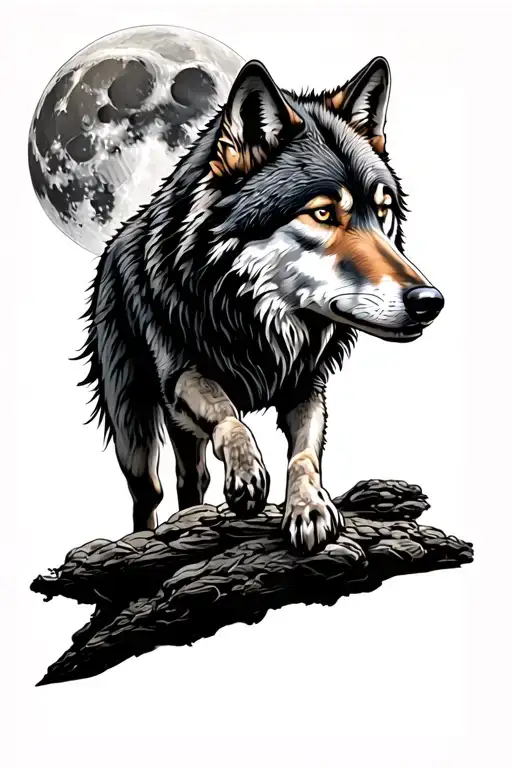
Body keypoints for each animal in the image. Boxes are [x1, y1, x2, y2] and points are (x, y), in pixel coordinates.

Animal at [79, 56, 444, 554]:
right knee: (147, 491)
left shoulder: (306, 387)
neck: (256, 316)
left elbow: (305, 455)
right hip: (134, 427)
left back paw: (191, 518)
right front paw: (247, 473)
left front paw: (309, 507)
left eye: (383, 210)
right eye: (323, 213)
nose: (430, 301)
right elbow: (230, 415)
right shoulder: (184, 373)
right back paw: (147, 538)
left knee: (190, 480)